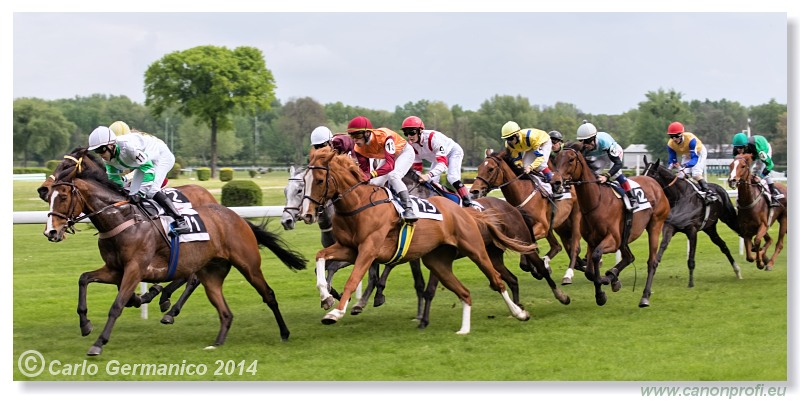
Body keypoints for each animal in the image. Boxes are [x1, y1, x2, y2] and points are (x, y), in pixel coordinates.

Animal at [42, 163, 308, 356]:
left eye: (63, 196)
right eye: (51, 196)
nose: (51, 232)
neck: (121, 219)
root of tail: (237, 217)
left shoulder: (134, 269)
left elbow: (117, 305)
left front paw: (99, 343)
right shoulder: (114, 269)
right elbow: (84, 278)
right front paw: (85, 324)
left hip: (249, 265)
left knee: (268, 295)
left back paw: (284, 333)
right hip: (211, 272)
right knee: (223, 310)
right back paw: (215, 342)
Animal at [300, 148, 536, 334]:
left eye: (319, 181)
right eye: (304, 181)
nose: (307, 214)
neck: (358, 206)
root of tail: (468, 212)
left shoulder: (369, 250)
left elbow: (354, 278)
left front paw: (337, 311)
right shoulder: (349, 248)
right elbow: (321, 257)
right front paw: (326, 297)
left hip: (476, 250)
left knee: (497, 280)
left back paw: (519, 312)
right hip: (440, 260)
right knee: (485, 284)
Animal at [468, 150, 588, 286]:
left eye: (491, 169)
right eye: (479, 168)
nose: (474, 191)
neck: (522, 192)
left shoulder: (541, 227)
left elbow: (525, 245)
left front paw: (535, 267)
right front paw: (536, 267)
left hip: (575, 217)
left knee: (574, 247)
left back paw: (569, 274)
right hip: (558, 226)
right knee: (557, 246)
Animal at [552, 144, 668, 308]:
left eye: (571, 159)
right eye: (555, 160)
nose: (555, 182)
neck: (597, 201)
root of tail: (654, 182)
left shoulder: (613, 240)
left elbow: (596, 256)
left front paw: (602, 291)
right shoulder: (592, 241)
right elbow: (589, 272)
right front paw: (606, 284)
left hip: (655, 226)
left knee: (652, 262)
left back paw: (644, 297)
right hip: (625, 237)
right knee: (629, 257)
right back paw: (613, 276)